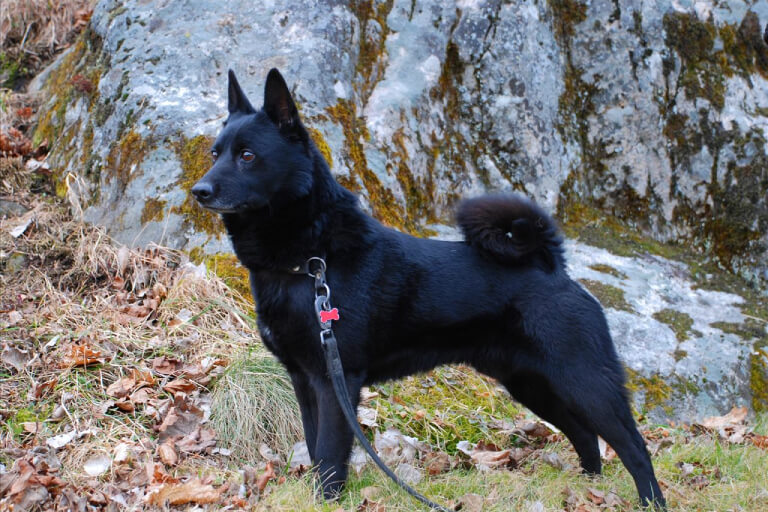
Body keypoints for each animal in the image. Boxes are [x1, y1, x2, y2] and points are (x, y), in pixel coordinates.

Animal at [194, 69, 664, 508]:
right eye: (215, 153)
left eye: (248, 155)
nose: (199, 190)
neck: (311, 261)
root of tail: (549, 265)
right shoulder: (304, 379)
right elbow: (314, 448)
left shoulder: (335, 380)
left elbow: (328, 456)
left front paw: (326, 501)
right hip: (532, 383)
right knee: (584, 435)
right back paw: (587, 486)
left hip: (586, 382)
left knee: (634, 447)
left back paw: (650, 502)